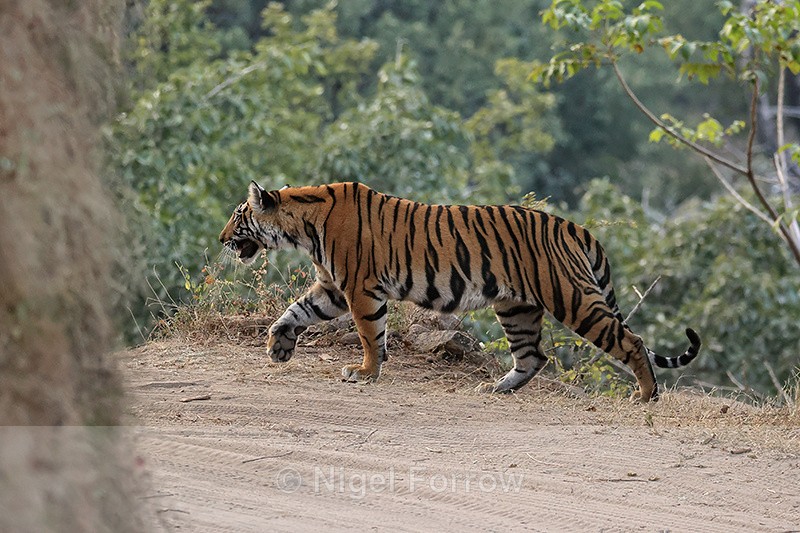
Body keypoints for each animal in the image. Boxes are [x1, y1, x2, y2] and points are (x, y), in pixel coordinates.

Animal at [219, 181, 700, 402]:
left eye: (238, 215)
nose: (222, 238)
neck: (302, 226)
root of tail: (573, 226)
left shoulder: (359, 288)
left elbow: (370, 334)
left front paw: (365, 372)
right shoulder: (333, 287)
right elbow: (296, 310)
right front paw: (278, 347)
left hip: (572, 297)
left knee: (630, 340)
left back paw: (645, 396)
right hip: (517, 307)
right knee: (533, 356)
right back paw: (497, 388)